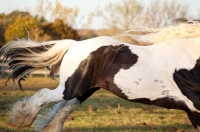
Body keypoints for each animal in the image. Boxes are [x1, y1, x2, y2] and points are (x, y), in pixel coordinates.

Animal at [1, 20, 200, 131]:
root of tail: (75, 44)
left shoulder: (192, 111)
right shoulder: (195, 108)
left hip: (83, 91)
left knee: (61, 111)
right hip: (71, 88)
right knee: (44, 96)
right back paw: (18, 120)